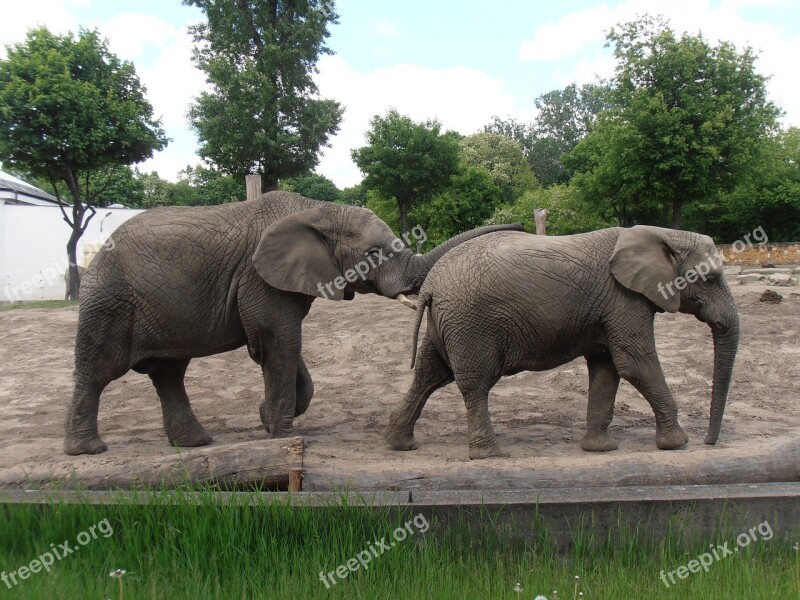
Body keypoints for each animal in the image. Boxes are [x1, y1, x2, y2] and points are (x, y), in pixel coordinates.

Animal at [64, 192, 524, 454]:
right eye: (374, 254)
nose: (520, 223)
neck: (318, 210)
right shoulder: (261, 277)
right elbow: (279, 341)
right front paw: (282, 434)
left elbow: (283, 346)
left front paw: (267, 418)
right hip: (110, 300)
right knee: (99, 369)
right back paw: (87, 450)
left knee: (168, 373)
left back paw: (194, 443)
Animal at [384, 225, 740, 460]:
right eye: (709, 279)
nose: (709, 443)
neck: (663, 234)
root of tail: (431, 284)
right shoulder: (625, 301)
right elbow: (634, 363)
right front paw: (677, 443)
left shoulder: (611, 307)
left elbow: (607, 368)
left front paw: (600, 448)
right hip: (469, 323)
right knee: (474, 384)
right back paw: (491, 455)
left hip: (446, 322)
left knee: (430, 375)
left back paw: (400, 444)